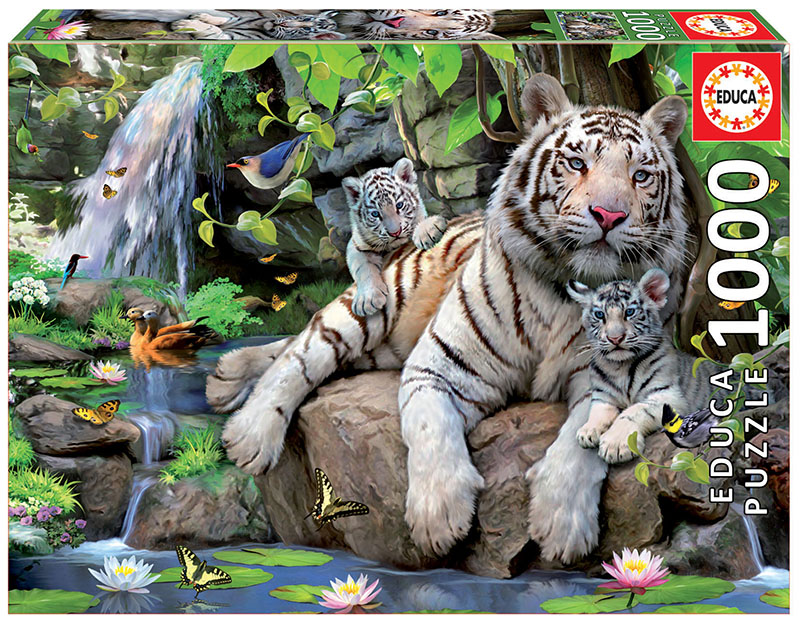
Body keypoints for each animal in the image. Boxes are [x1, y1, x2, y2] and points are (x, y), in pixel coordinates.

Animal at [343, 158, 447, 317]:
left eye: (399, 205)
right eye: (375, 214)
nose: (395, 233)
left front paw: (428, 230)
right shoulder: (356, 246)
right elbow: (363, 268)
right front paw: (368, 299)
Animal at [566, 268, 713, 462]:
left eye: (629, 312)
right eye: (600, 315)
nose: (615, 338)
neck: (620, 367)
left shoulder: (668, 395)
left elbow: (634, 411)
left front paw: (615, 444)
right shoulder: (603, 395)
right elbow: (598, 410)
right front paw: (588, 430)